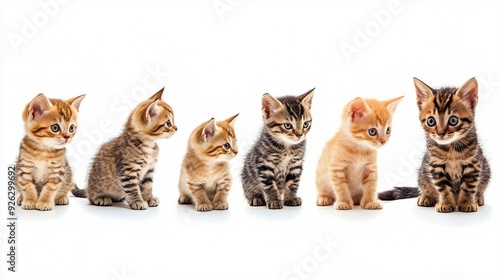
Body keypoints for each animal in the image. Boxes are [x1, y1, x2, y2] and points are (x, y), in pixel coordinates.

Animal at [376, 76, 490, 212]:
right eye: (431, 121)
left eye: (453, 120)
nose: (440, 133)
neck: (451, 148)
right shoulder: (435, 166)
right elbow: (443, 188)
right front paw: (446, 203)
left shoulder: (473, 165)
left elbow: (468, 186)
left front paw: (467, 202)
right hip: (422, 174)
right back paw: (425, 197)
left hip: (486, 168)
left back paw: (478, 197)